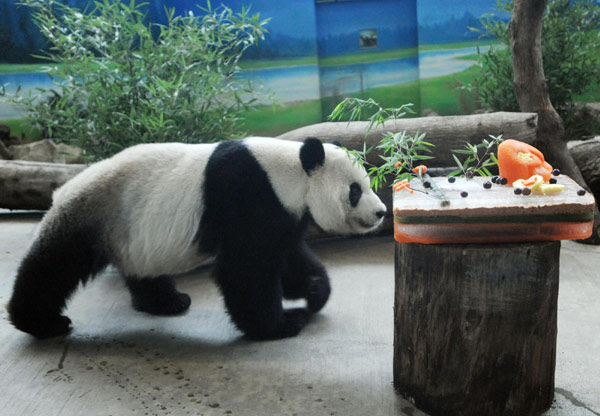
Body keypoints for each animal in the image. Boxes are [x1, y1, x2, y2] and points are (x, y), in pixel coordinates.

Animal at [7, 138, 386, 340]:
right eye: (355, 190)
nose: (381, 212)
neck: (288, 171)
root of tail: (63, 188)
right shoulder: (247, 193)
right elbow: (246, 269)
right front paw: (280, 324)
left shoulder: (281, 211)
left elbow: (288, 255)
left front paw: (314, 291)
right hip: (92, 213)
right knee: (53, 266)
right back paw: (41, 323)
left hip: (132, 232)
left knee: (142, 270)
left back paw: (167, 302)